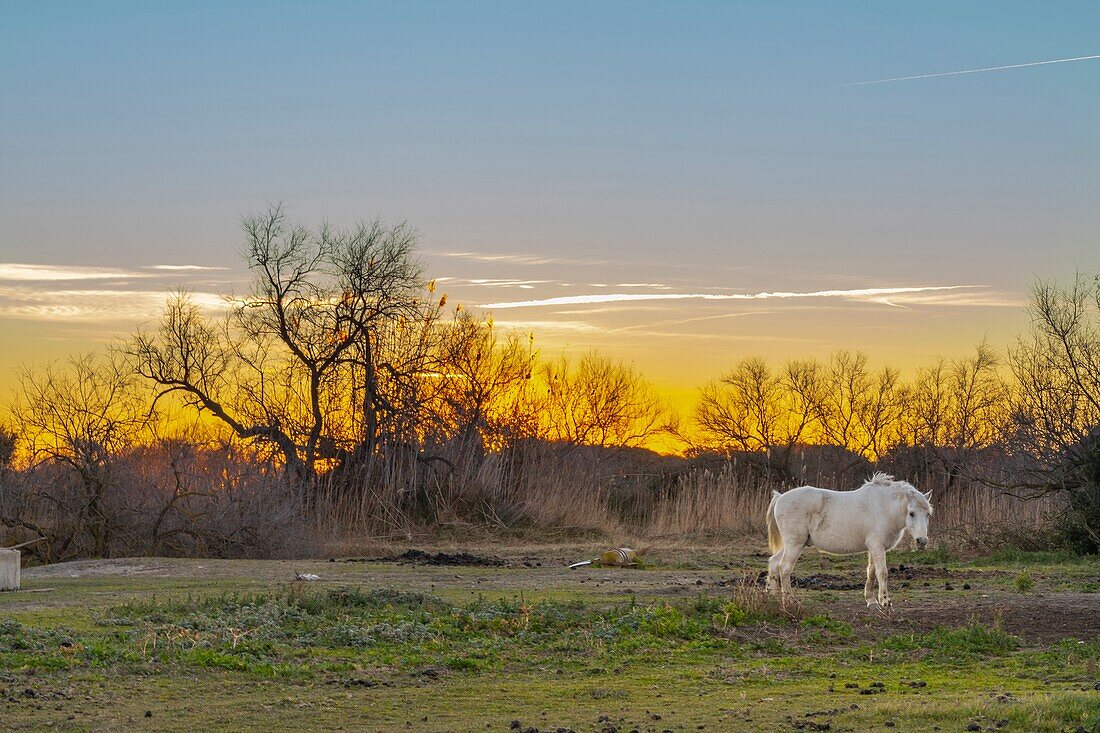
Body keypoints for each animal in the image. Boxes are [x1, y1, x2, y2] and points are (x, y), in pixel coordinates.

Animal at [770, 471, 932, 607]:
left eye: (928, 514)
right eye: (911, 513)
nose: (922, 541)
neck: (884, 508)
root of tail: (780, 497)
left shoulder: (873, 548)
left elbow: (871, 571)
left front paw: (871, 601)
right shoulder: (877, 547)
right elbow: (882, 573)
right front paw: (885, 602)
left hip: (792, 544)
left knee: (774, 562)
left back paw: (771, 596)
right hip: (795, 544)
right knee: (784, 567)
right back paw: (789, 600)